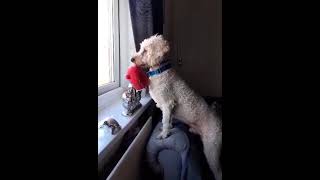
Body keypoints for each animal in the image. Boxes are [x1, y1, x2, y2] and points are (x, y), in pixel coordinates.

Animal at [131, 34, 221, 180]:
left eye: (145, 51)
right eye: (140, 49)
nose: (131, 59)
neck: (160, 71)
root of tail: (218, 119)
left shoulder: (167, 104)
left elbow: (165, 120)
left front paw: (164, 135)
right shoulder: (168, 108)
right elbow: (169, 120)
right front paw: (169, 128)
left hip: (212, 149)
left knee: (218, 171)